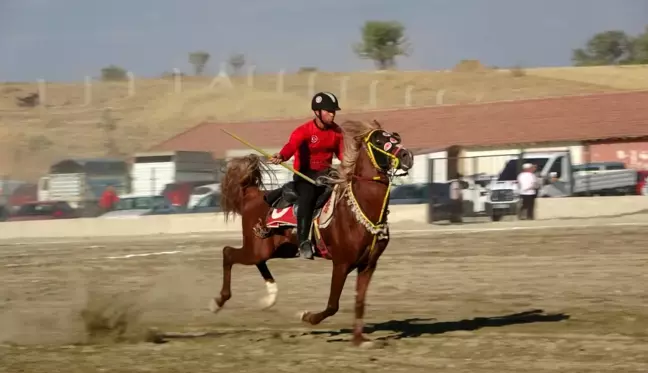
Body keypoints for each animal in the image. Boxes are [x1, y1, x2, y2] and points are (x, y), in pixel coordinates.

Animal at [213, 118, 416, 342]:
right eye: (379, 141)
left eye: (395, 137)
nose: (407, 156)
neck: (358, 210)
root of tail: (251, 194)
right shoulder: (341, 263)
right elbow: (333, 305)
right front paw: (307, 316)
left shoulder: (368, 265)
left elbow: (359, 303)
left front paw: (359, 340)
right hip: (258, 247)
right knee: (228, 253)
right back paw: (218, 302)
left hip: (278, 249)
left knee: (256, 261)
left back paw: (270, 296)